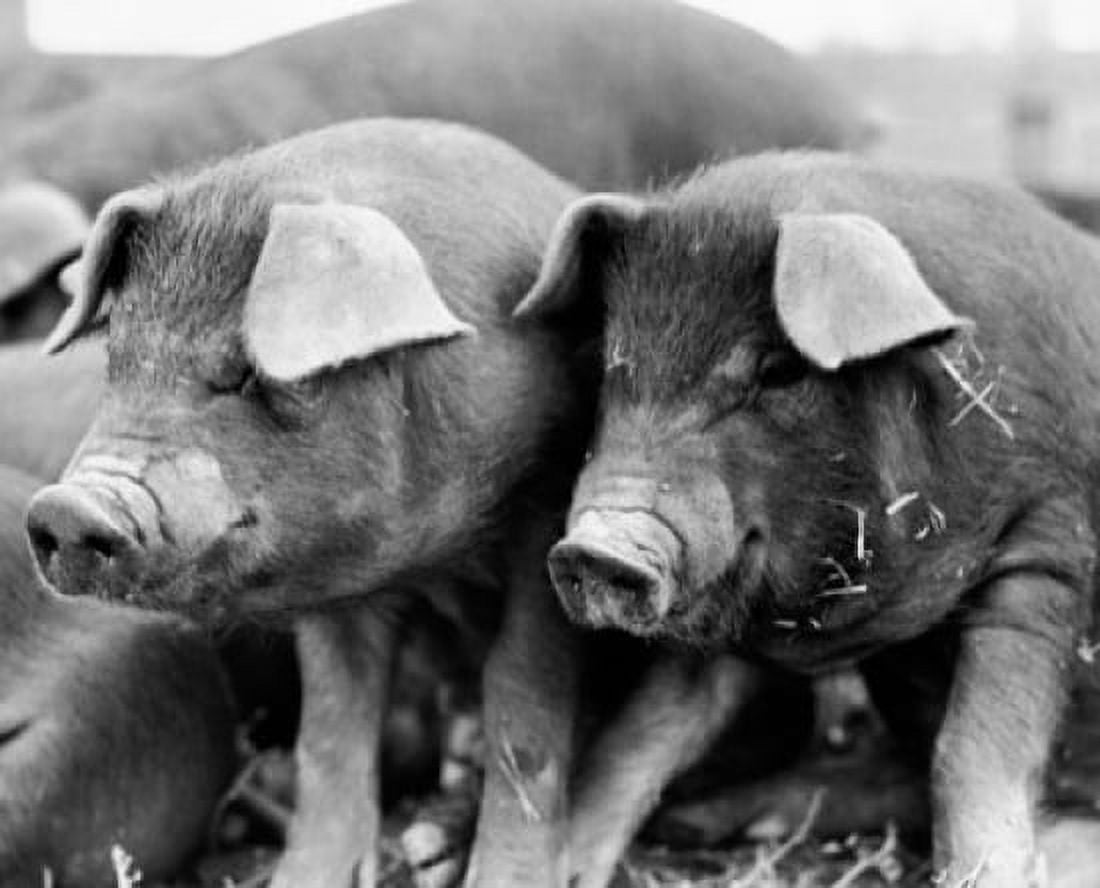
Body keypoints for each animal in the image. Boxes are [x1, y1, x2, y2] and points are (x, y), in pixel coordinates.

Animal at [519, 152, 1100, 887]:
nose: (597, 549)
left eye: (777, 372)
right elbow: (645, 735)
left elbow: (971, 747)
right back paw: (700, 821)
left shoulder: (1048, 540)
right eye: (614, 365)